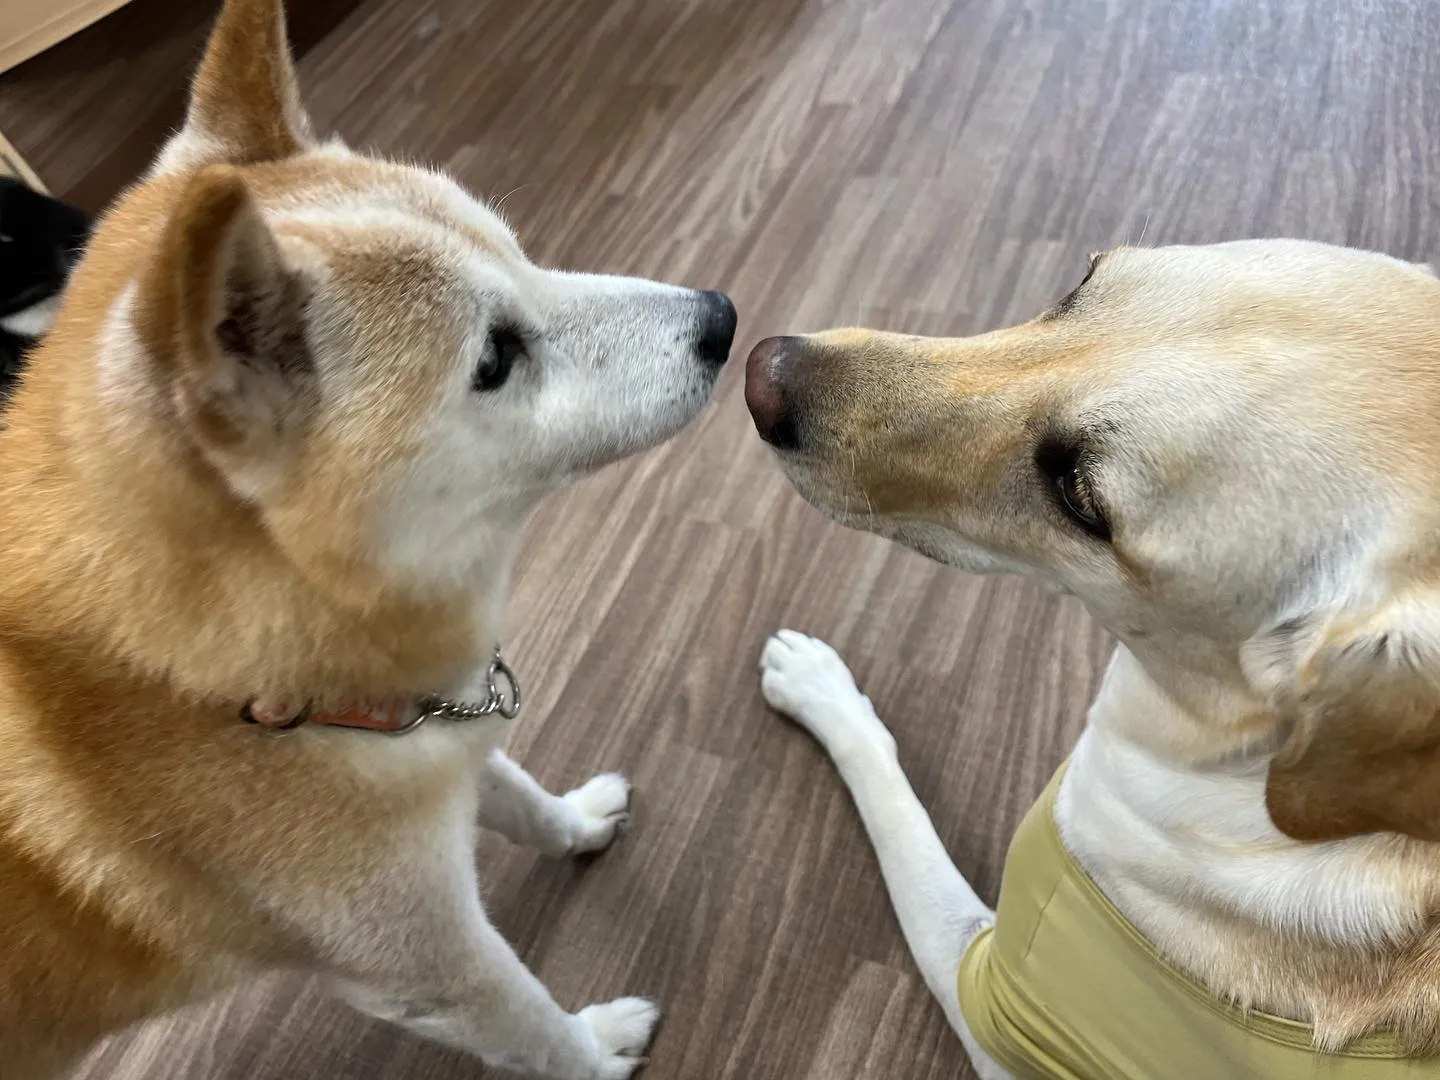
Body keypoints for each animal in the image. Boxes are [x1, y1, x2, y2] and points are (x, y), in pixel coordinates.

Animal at [0, 2, 737, 1080]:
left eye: (523, 253)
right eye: (495, 357)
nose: (723, 318)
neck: (226, 688)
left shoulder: (433, 723)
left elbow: (515, 793)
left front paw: (573, 823)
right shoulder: (429, 967)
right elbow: (536, 1029)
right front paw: (598, 1050)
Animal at [748, 247, 1440, 1080]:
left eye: (1079, 496)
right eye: (1083, 281)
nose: (761, 372)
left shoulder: (999, 1004)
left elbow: (898, 809)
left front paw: (819, 689)